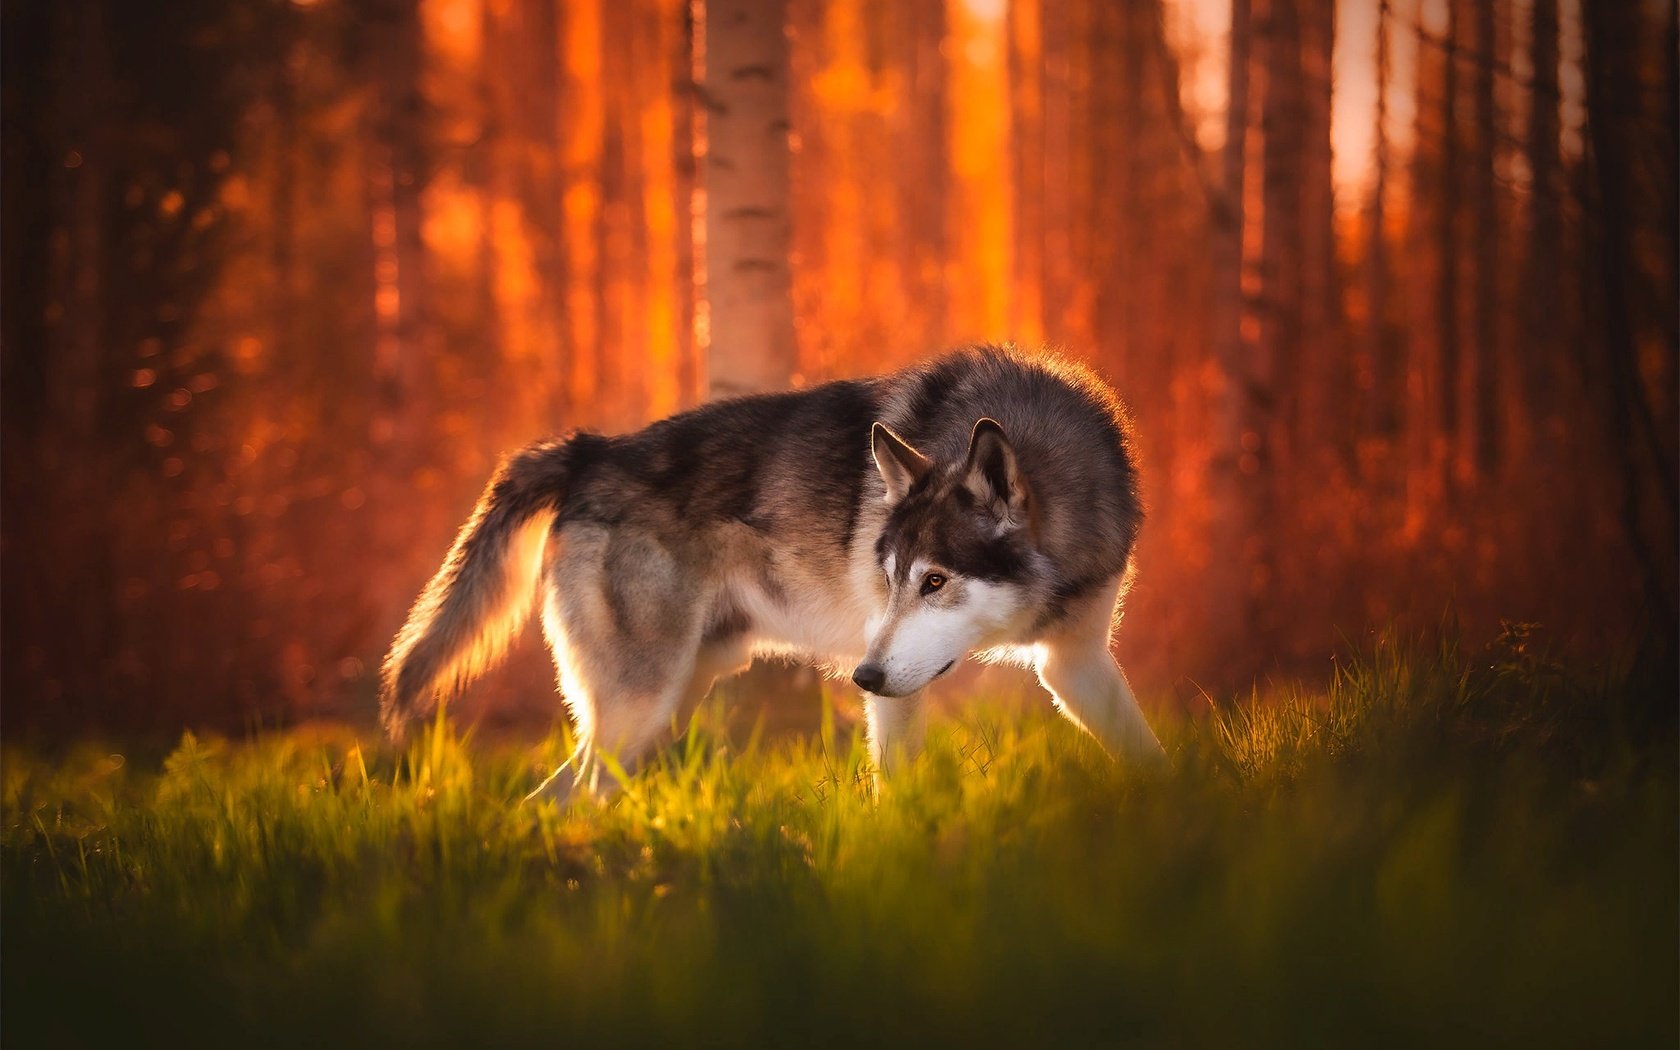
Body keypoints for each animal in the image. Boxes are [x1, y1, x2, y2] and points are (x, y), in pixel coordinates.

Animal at [383, 344, 1169, 792]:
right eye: (891, 580)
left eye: (934, 582)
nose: (863, 676)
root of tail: (589, 450)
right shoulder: (899, 695)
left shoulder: (1073, 662)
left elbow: (1151, 758)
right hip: (639, 710)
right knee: (556, 797)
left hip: (666, 708)